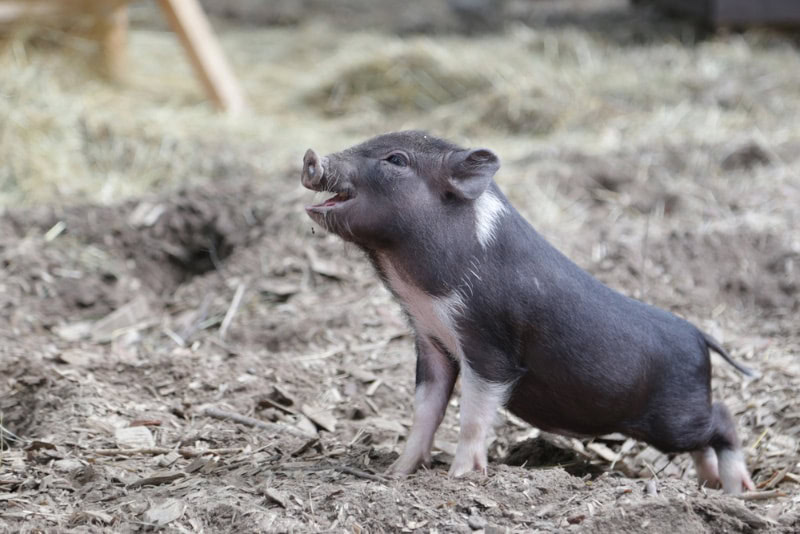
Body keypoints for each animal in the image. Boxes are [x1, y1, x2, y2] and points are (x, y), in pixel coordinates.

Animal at [300, 131, 756, 494]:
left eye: (396, 159)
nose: (311, 155)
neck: (417, 288)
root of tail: (699, 336)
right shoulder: (431, 340)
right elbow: (425, 411)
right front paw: (396, 473)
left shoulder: (489, 345)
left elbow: (472, 415)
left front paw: (460, 478)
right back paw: (709, 484)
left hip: (672, 417)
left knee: (724, 419)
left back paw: (738, 491)